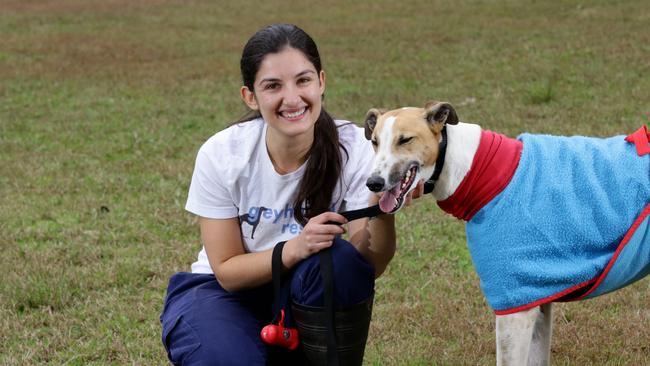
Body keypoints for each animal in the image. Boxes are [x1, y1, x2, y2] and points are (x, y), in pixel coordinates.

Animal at [362, 101, 644, 366]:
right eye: (374, 141)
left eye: (405, 139)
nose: (373, 183)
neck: (472, 167)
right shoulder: (537, 296)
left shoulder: (515, 304)